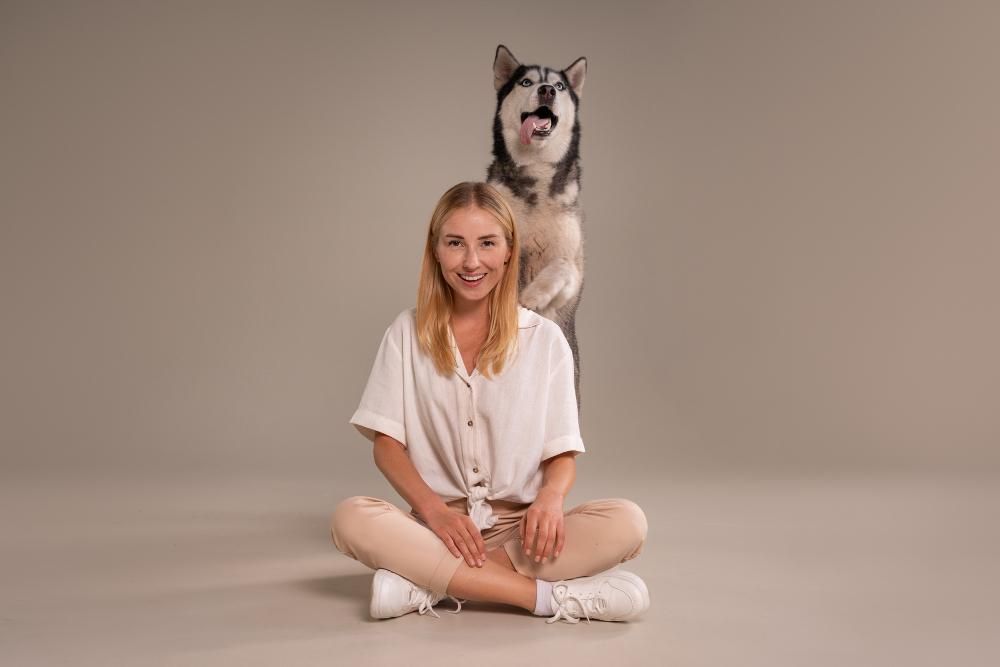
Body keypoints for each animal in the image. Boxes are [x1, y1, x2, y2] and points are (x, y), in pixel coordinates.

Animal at [487, 44, 587, 408]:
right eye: (526, 82)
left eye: (559, 86)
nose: (546, 90)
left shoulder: (573, 275)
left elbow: (561, 265)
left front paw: (534, 294)